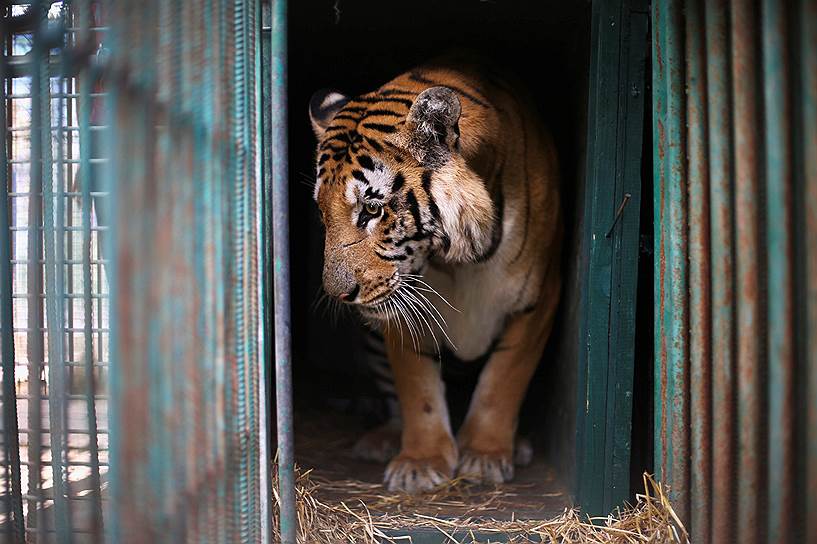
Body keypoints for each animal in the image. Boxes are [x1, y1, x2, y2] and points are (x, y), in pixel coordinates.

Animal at [308, 52, 560, 492]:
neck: (457, 259)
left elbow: (503, 379)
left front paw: (485, 456)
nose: (339, 294)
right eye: (323, 213)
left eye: (371, 209)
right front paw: (420, 464)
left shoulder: (538, 297)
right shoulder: (398, 307)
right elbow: (416, 389)